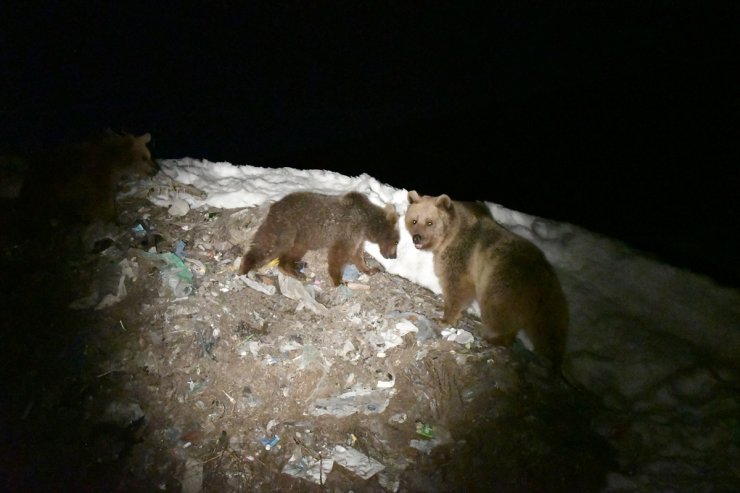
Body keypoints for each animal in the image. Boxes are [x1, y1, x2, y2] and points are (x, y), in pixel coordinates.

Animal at [19, 130, 158, 224]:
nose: (155, 170)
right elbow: (103, 199)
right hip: (47, 185)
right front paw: (112, 218)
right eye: (144, 157)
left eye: (149, 155)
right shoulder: (96, 176)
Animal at [237, 190, 398, 286]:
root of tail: (275, 205)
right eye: (397, 241)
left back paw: (295, 271)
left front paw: (370, 269)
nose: (394, 256)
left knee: (287, 252)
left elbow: (357, 255)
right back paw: (245, 268)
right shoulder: (349, 230)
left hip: (301, 237)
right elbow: (338, 254)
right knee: (270, 246)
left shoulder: (358, 237)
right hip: (286, 228)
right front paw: (338, 280)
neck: (367, 224)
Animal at [404, 188, 568, 368]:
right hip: (548, 301)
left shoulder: (461, 254)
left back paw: (495, 338)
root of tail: (543, 278)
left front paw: (445, 318)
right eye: (414, 220)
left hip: (503, 283)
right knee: (548, 328)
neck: (449, 235)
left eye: (429, 222)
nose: (417, 237)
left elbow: (456, 286)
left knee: (496, 312)